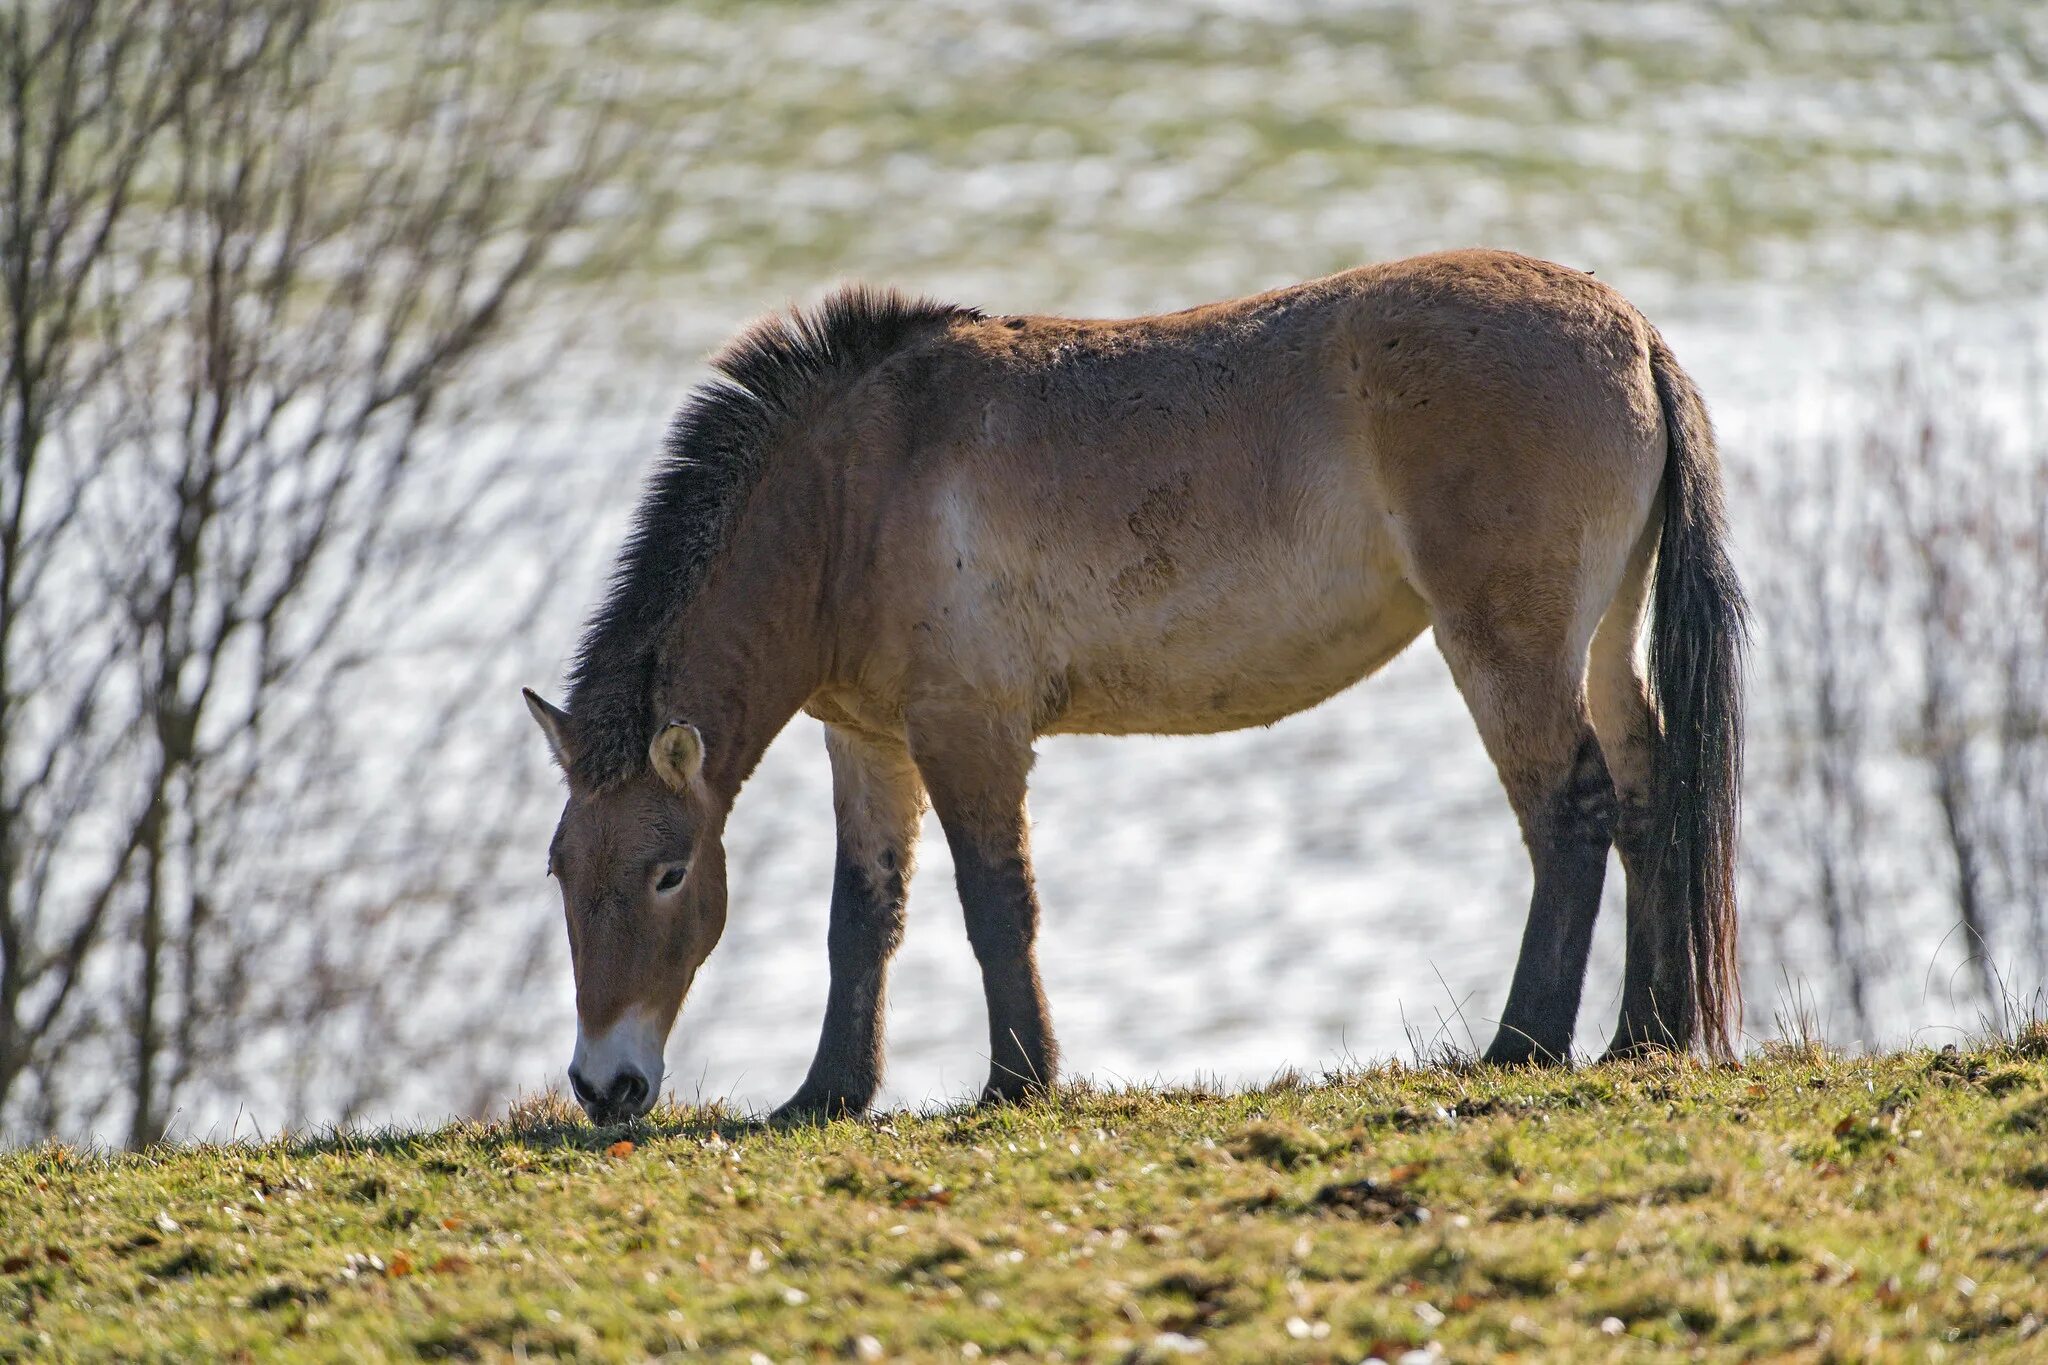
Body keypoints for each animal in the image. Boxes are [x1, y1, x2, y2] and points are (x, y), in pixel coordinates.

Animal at [524, 250, 1744, 1129]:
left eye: (668, 872)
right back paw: (1642, 1035)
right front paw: (825, 1094)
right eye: (561, 871)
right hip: (1601, 638)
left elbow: (995, 902)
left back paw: (1521, 1045)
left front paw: (1019, 1080)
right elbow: (863, 917)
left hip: (1504, 646)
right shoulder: (869, 743)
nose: (604, 1087)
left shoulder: (968, 731)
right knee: (1647, 789)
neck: (854, 492)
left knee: (1569, 810)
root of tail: (1629, 329)